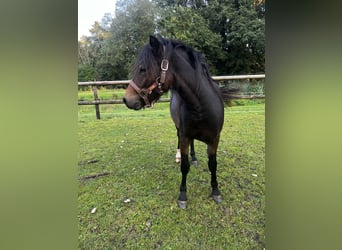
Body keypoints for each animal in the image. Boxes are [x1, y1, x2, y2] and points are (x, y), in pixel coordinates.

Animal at [123, 34, 224, 207]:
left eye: (142, 69)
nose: (126, 99)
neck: (202, 105)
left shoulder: (214, 139)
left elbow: (213, 165)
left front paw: (215, 191)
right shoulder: (184, 135)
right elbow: (184, 166)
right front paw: (183, 196)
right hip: (179, 129)